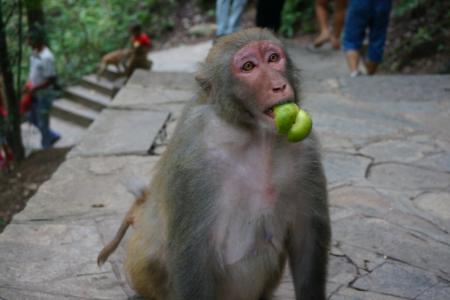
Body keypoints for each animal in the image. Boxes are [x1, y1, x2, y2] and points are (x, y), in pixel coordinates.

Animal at [97, 27, 330, 300]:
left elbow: (307, 237)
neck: (256, 134)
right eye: (248, 67)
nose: (278, 85)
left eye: (273, 58)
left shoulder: (306, 151)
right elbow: (193, 254)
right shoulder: (194, 160)